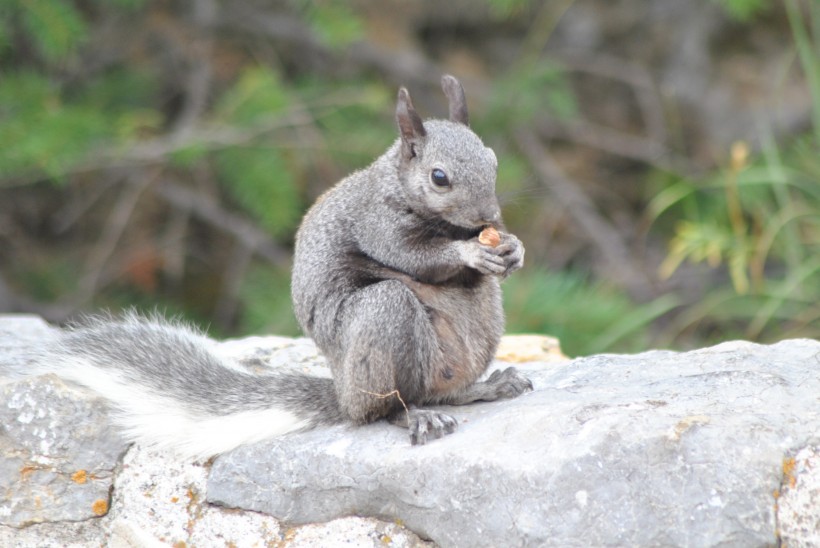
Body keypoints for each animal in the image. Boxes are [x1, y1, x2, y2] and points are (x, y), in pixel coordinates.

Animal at [3, 76, 528, 458]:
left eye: (493, 160)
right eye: (439, 178)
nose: (490, 218)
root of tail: (341, 392)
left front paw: (514, 248)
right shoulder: (375, 222)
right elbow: (411, 256)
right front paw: (468, 253)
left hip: (480, 321)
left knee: (446, 388)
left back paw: (484, 387)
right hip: (383, 323)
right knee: (382, 408)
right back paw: (412, 415)